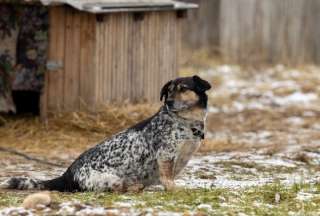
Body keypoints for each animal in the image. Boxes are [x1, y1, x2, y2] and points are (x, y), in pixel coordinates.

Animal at [0, 75, 212, 192]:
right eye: (168, 91)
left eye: (184, 88)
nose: (168, 102)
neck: (185, 122)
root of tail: (67, 175)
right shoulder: (166, 155)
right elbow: (167, 177)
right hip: (111, 179)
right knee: (119, 188)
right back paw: (134, 187)